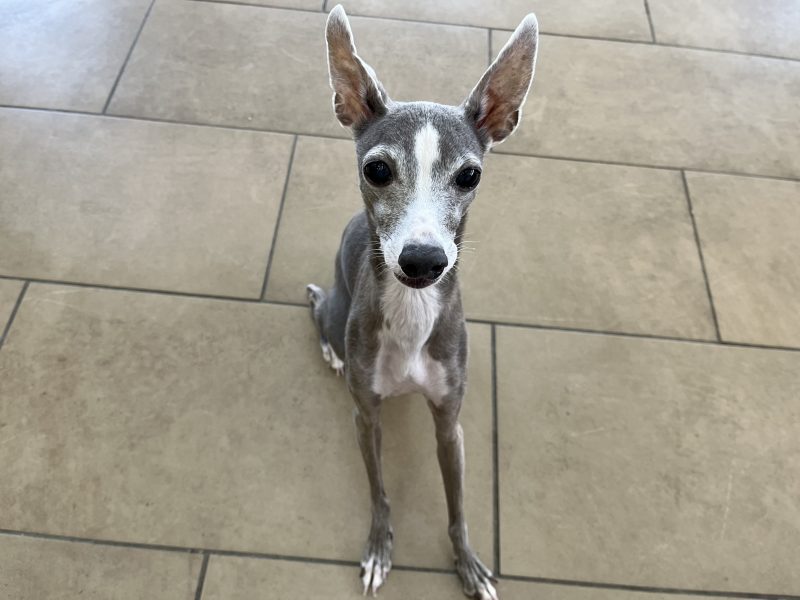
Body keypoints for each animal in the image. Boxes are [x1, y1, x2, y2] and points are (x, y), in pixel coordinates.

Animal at [307, 6, 538, 599]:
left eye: (470, 174)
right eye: (377, 169)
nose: (422, 261)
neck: (411, 321)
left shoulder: (450, 424)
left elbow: (457, 508)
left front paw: (468, 564)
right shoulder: (365, 417)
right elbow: (380, 493)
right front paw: (378, 548)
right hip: (335, 311)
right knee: (317, 308)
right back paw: (331, 348)